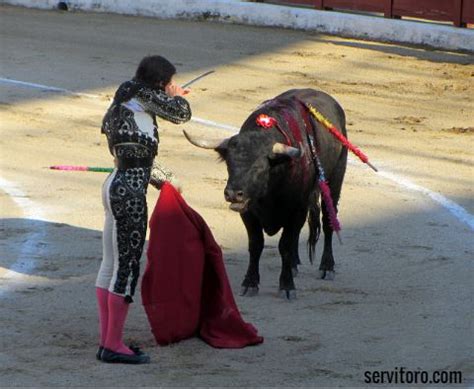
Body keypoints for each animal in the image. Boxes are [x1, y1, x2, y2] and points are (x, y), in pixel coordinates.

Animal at [185, 88, 348, 300]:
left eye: (259, 167)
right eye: (229, 163)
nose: (233, 194)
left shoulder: (297, 209)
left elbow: (284, 244)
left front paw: (287, 286)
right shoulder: (249, 212)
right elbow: (256, 244)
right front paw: (249, 283)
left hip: (335, 179)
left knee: (328, 220)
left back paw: (327, 267)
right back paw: (294, 264)